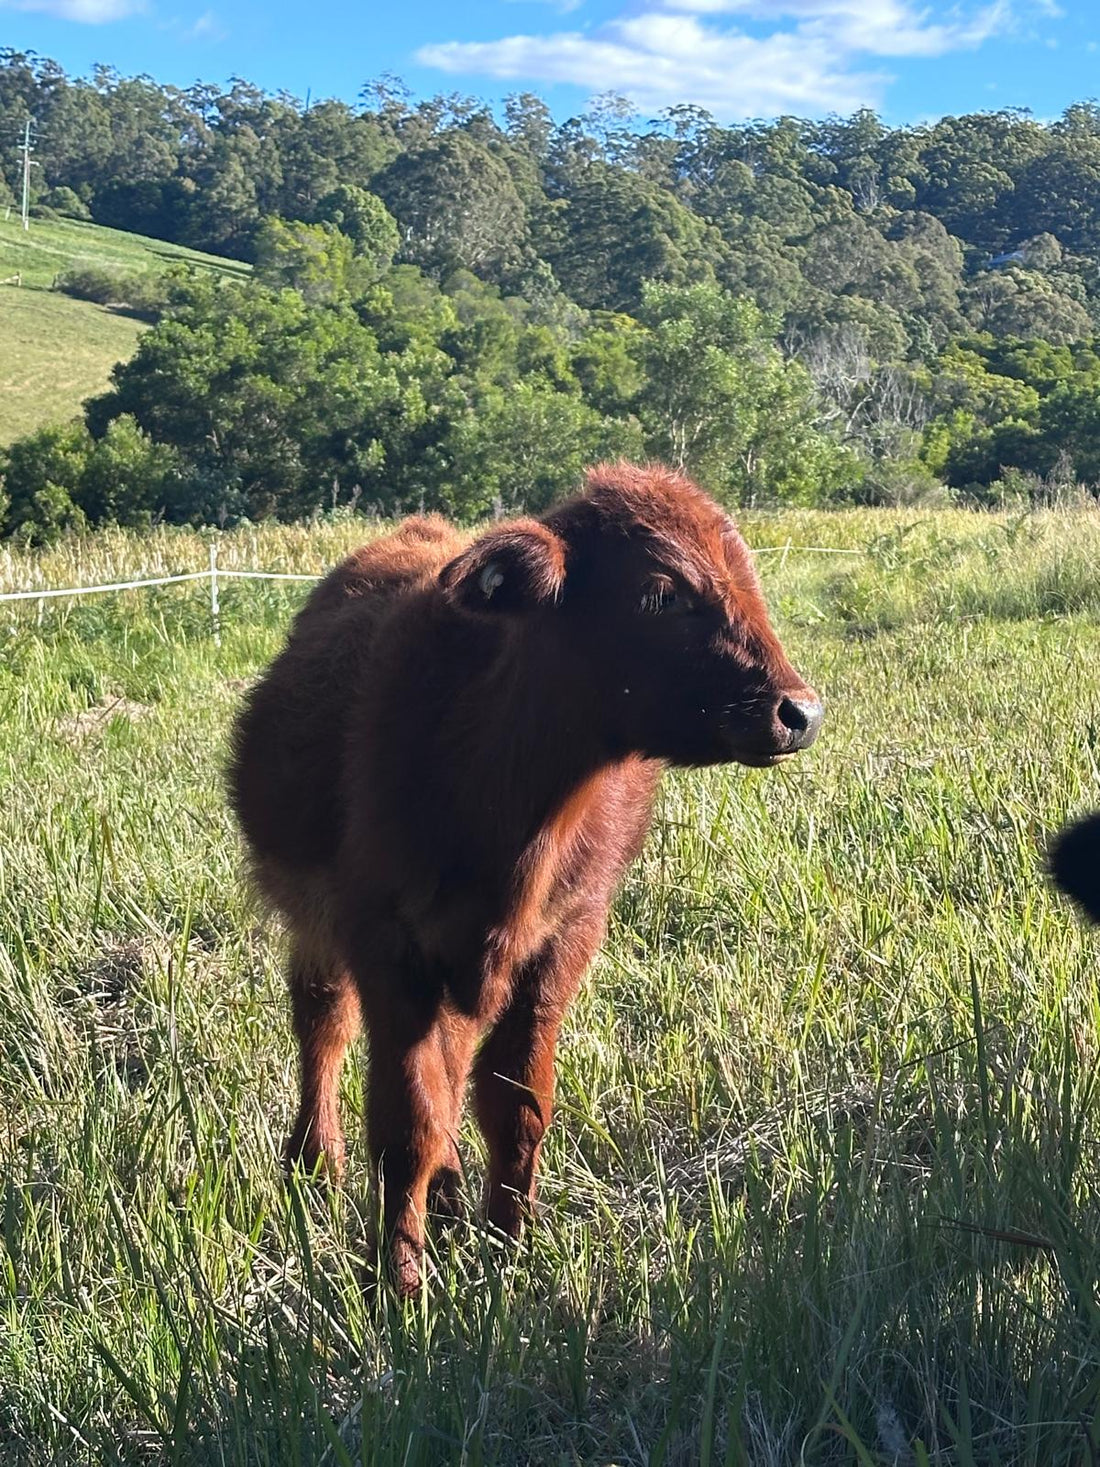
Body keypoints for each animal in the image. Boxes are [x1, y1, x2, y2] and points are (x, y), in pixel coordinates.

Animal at [228, 462, 824, 1295]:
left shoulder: (563, 937)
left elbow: (515, 1102)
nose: (798, 711)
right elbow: (406, 1119)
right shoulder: (384, 940)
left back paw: (447, 1197)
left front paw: (511, 1254)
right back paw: (315, 1161)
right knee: (323, 1022)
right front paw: (398, 1283)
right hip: (315, 923)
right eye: (662, 593)